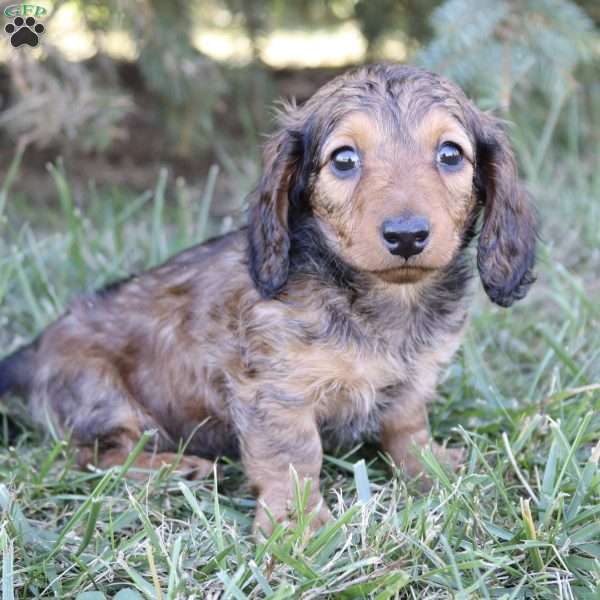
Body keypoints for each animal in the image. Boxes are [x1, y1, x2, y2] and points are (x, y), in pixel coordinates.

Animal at [0, 64, 536, 536]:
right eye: (344, 159)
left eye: (451, 154)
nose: (406, 235)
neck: (377, 300)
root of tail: (30, 353)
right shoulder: (274, 392)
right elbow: (294, 458)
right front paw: (294, 527)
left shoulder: (412, 379)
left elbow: (407, 426)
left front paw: (433, 468)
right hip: (101, 394)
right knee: (91, 457)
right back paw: (175, 467)